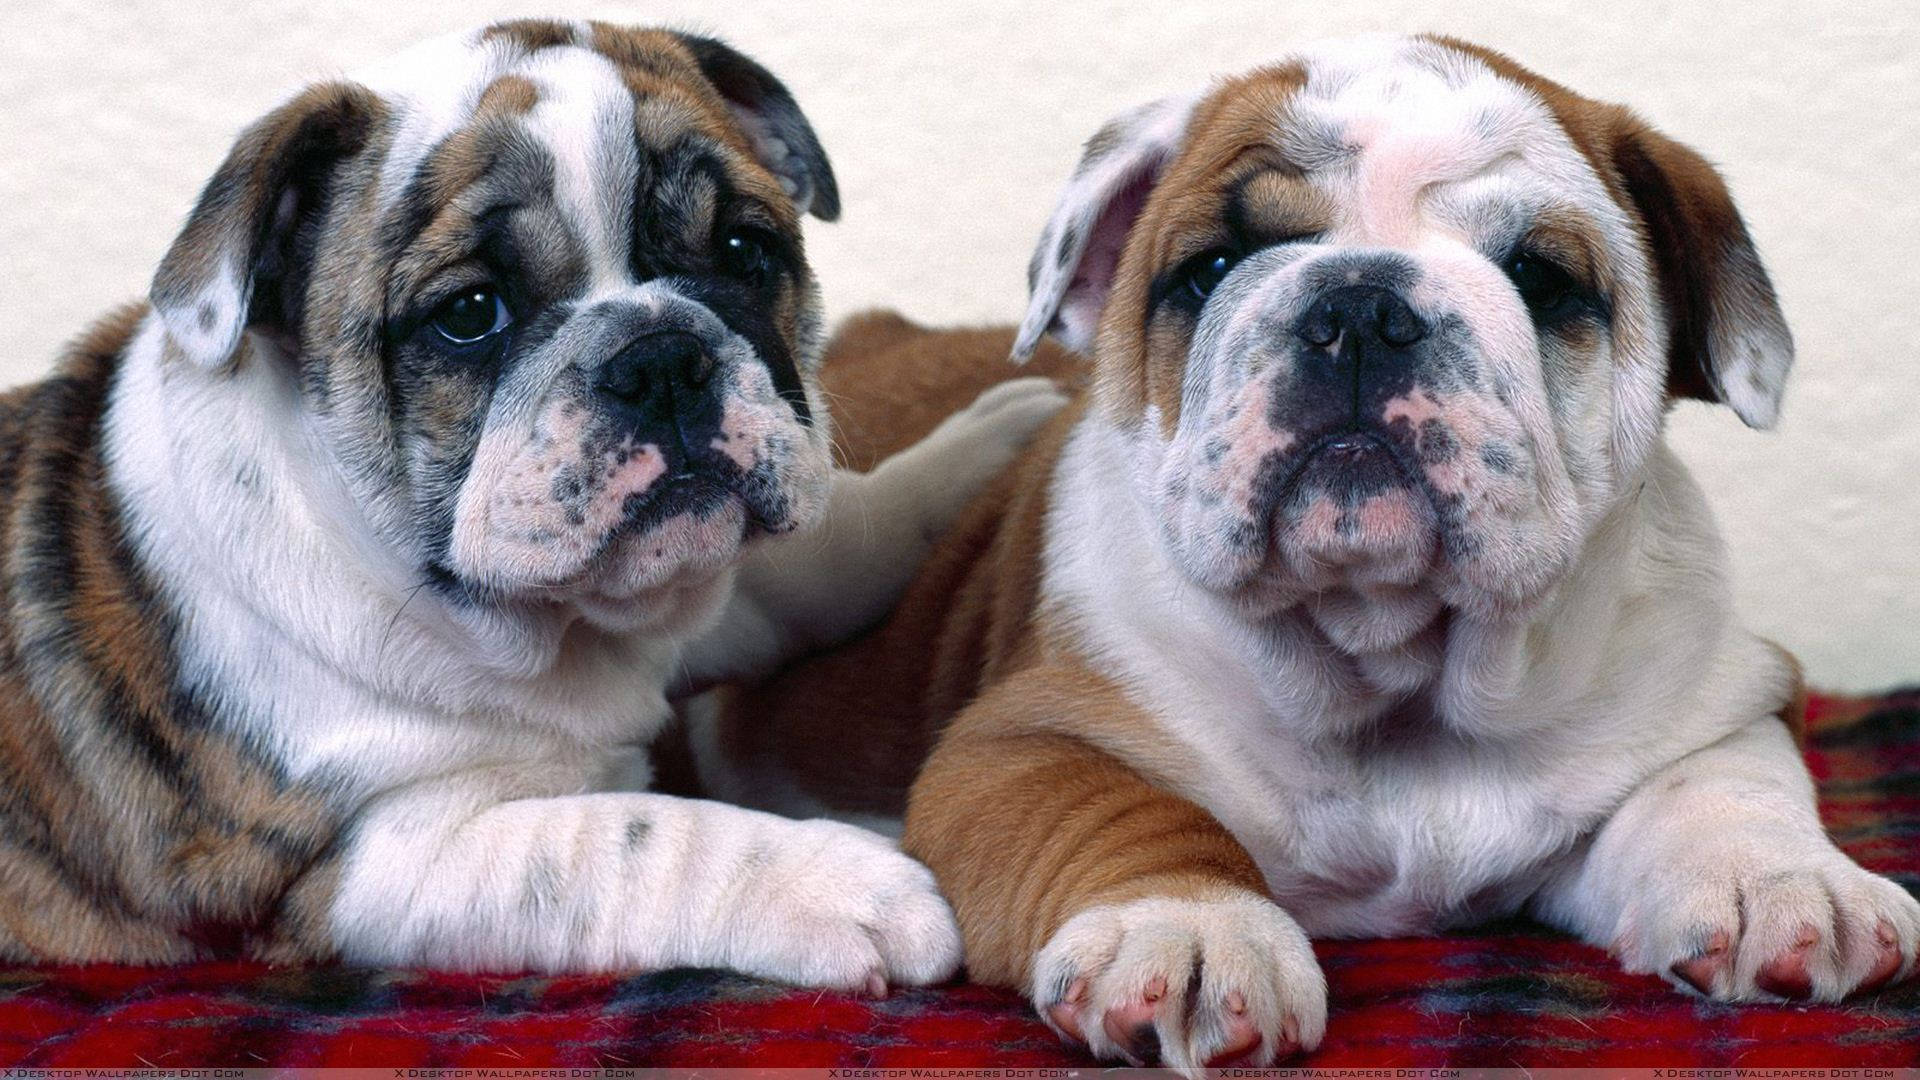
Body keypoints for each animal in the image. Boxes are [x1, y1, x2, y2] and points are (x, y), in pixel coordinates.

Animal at [0, 18, 1067, 991]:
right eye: (470, 315)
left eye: (744, 248)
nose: (660, 356)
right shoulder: (373, 870)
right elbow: (637, 840)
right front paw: (847, 882)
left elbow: (794, 576)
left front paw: (966, 455)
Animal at [698, 33, 1920, 1068]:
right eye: (1211, 267)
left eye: (1542, 279)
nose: (1360, 306)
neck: (1395, 672)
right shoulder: (1017, 743)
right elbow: (1125, 811)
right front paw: (1187, 930)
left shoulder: (1718, 691)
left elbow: (1719, 779)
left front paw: (1782, 882)